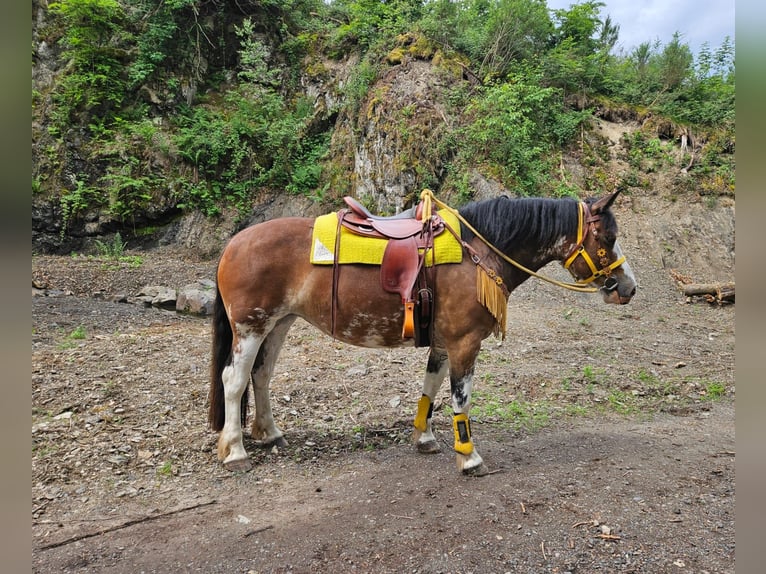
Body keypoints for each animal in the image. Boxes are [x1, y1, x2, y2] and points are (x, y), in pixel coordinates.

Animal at [208, 190, 637, 475]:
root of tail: (233, 243)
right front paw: (469, 456)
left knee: (261, 376)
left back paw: (269, 433)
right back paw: (236, 451)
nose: (628, 288)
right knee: (234, 380)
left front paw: (425, 438)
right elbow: (461, 400)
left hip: (279, 323)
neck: (478, 251)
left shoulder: (445, 341)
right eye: (608, 238)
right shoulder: (465, 342)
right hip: (252, 326)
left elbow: (430, 390)